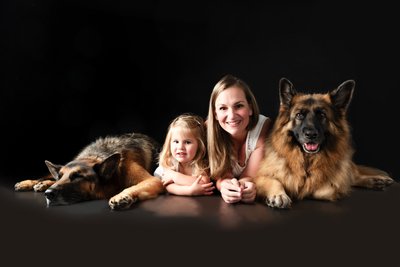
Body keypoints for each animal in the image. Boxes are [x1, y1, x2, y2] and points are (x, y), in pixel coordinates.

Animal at [14, 133, 164, 210]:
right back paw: (32, 183)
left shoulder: (152, 180)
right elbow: (50, 179)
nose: (48, 194)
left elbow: (134, 186)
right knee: (45, 176)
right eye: (60, 177)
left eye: (78, 176)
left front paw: (122, 196)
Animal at [255, 77, 396, 209]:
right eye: (299, 115)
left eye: (321, 115)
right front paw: (278, 195)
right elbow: (275, 181)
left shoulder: (332, 183)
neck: (307, 161)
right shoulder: (260, 176)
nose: (311, 135)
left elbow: (324, 189)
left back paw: (376, 180)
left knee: (352, 176)